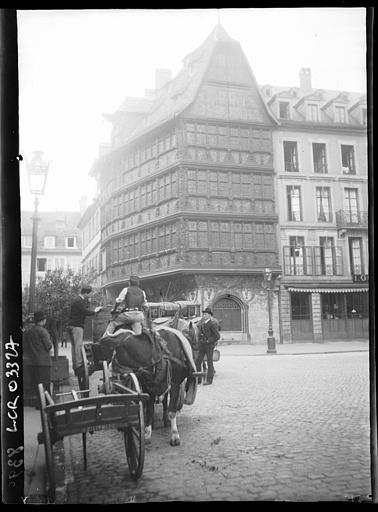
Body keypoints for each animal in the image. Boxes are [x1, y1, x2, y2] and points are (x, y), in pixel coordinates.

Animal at [99, 318, 199, 446]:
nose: (110, 367)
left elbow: (172, 411)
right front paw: (147, 433)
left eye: (116, 352)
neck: (156, 355)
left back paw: (166, 420)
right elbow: (150, 409)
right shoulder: (149, 387)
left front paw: (175, 435)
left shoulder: (175, 385)